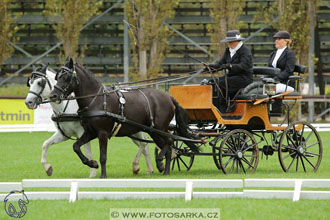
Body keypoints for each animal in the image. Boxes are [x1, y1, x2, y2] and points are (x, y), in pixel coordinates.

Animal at [49, 57, 196, 178]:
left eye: (66, 77)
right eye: (57, 77)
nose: (53, 96)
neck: (96, 99)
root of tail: (169, 97)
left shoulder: (102, 133)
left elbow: (103, 156)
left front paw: (103, 175)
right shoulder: (90, 132)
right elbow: (76, 146)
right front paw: (92, 163)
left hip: (161, 128)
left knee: (169, 142)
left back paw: (160, 163)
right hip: (153, 130)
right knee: (167, 145)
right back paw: (165, 170)